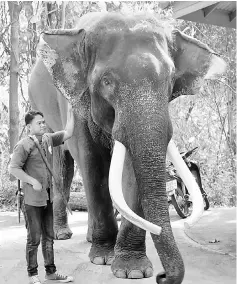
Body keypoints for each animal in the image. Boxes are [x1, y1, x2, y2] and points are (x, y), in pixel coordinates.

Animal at [28, 11, 226, 284]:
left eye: (169, 81)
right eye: (107, 81)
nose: (163, 276)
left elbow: (131, 174)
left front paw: (133, 270)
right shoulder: (77, 104)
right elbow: (93, 166)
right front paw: (103, 258)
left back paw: (89, 238)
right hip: (44, 111)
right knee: (62, 167)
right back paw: (63, 234)